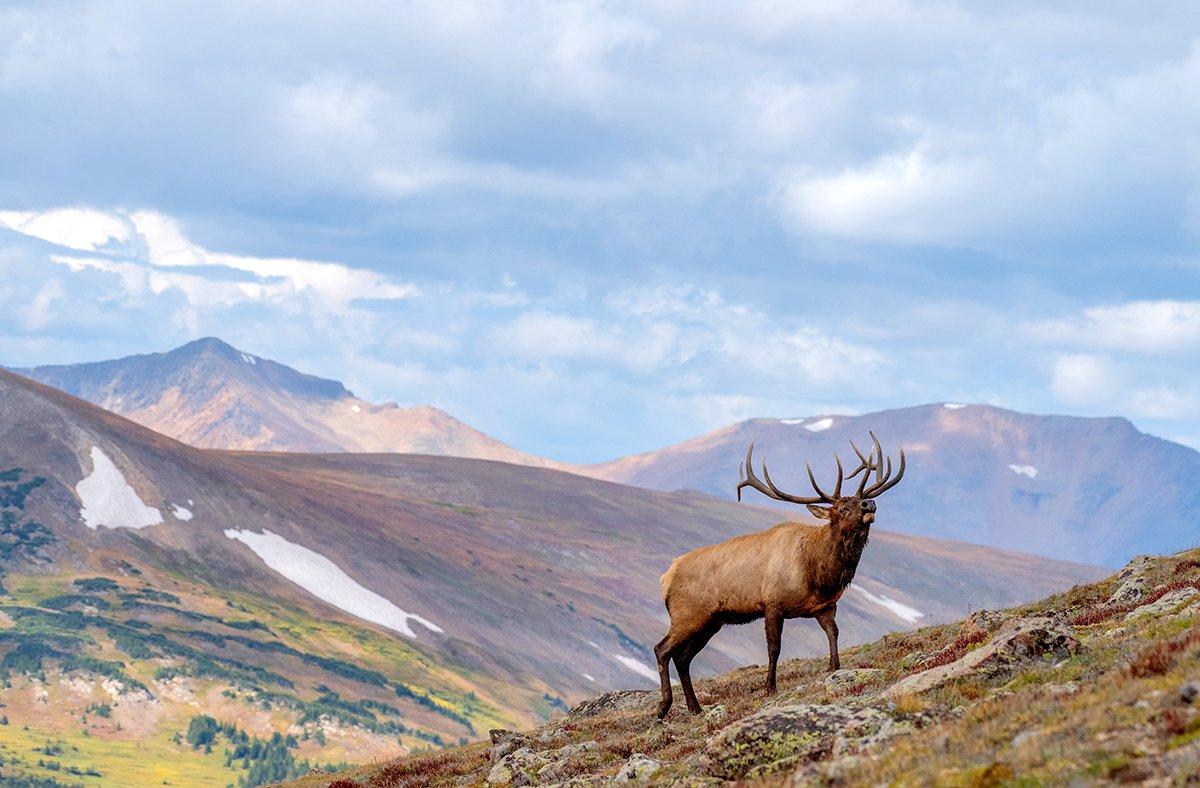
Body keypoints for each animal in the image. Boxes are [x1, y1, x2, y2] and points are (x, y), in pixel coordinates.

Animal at [657, 434, 902, 714]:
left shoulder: (825, 606)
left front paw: (834, 668)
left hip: (711, 621)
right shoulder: (772, 603)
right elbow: (774, 648)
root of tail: (666, 577)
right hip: (687, 614)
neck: (817, 574)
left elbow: (833, 634)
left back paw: (694, 707)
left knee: (682, 658)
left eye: (858, 501)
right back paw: (663, 707)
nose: (869, 503)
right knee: (662, 649)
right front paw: (769, 687)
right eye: (841, 508)